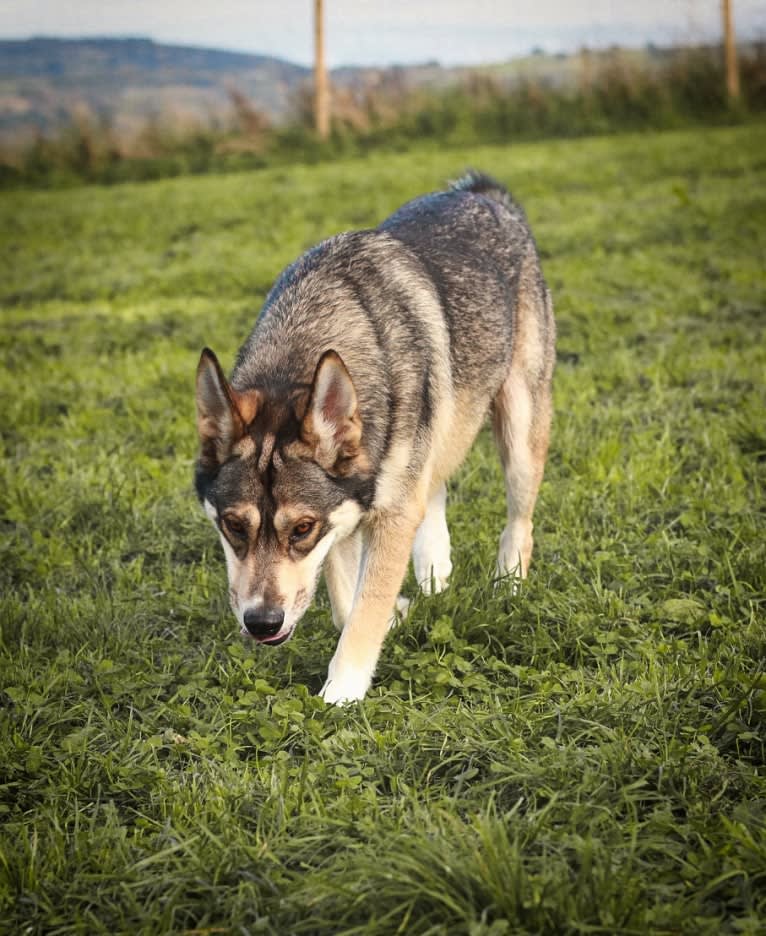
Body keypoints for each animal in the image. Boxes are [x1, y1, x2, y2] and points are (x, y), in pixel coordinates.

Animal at [196, 172, 560, 704]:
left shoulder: (379, 516)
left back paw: (507, 583)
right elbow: (345, 599)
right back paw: (434, 572)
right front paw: (397, 614)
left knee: (519, 523)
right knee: (435, 491)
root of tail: (480, 191)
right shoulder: (348, 514)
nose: (262, 623)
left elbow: (365, 608)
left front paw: (340, 694)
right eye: (233, 526)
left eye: (300, 529)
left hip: (519, 429)